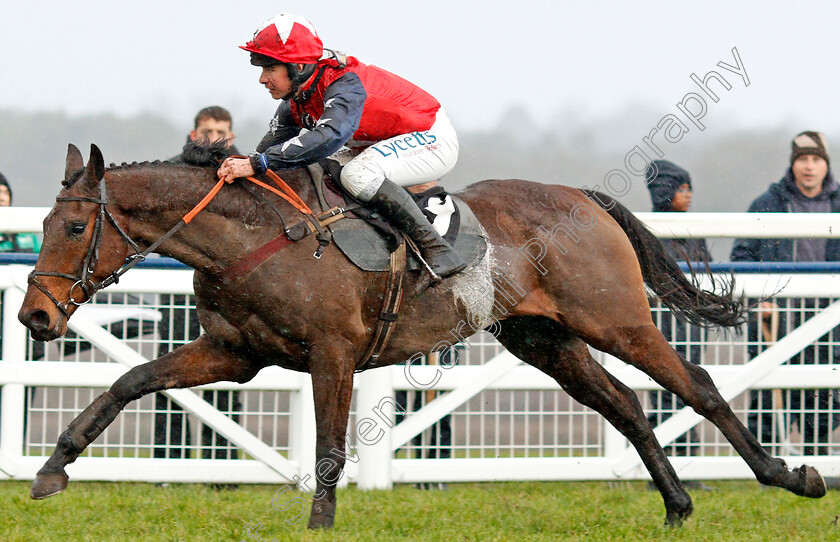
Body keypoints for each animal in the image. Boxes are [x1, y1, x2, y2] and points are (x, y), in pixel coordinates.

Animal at [16, 144, 824, 532]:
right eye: (48, 223)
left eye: (77, 226)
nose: (36, 318)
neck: (253, 239)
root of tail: (580, 196)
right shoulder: (238, 352)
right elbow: (128, 383)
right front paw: (53, 469)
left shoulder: (333, 354)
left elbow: (331, 446)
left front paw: (319, 524)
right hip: (546, 340)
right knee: (626, 405)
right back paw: (678, 505)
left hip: (616, 319)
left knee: (701, 388)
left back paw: (790, 476)